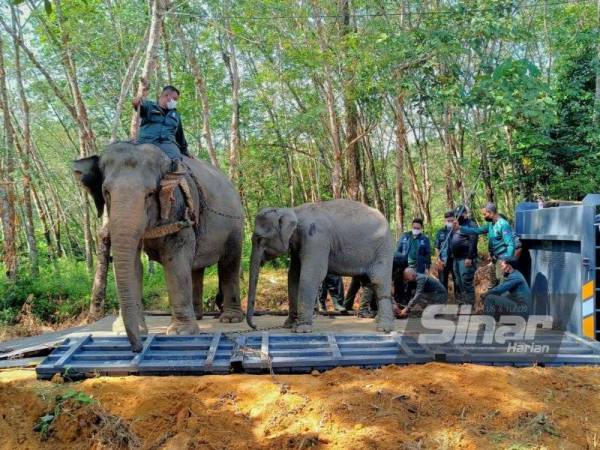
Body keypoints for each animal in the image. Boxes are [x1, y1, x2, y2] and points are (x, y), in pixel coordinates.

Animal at [74, 143, 243, 352]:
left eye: (150, 194)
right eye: (106, 192)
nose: (137, 348)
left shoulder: (180, 210)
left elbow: (175, 260)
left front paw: (181, 333)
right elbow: (134, 265)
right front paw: (124, 331)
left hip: (235, 225)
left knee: (229, 263)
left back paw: (230, 319)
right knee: (195, 268)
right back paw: (198, 315)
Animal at [246, 199, 396, 332]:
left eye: (259, 239)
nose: (255, 326)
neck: (293, 211)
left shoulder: (316, 238)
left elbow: (310, 275)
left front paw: (301, 329)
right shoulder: (299, 245)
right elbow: (293, 276)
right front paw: (289, 325)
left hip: (383, 249)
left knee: (378, 280)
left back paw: (384, 327)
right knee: (369, 282)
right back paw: (379, 320)